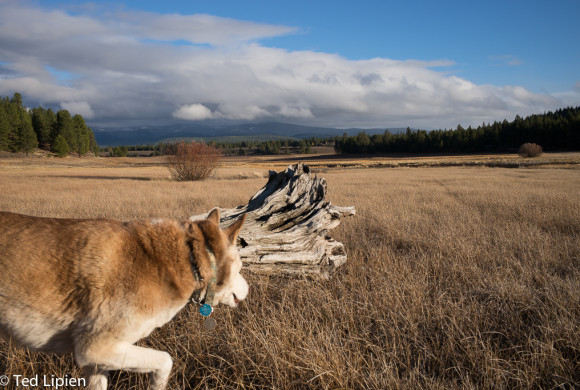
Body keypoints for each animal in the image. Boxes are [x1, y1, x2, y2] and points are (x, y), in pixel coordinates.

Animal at [0, 210, 247, 390]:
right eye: (240, 266)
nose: (248, 290)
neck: (186, 259)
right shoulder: (95, 348)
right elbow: (165, 361)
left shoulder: (96, 363)